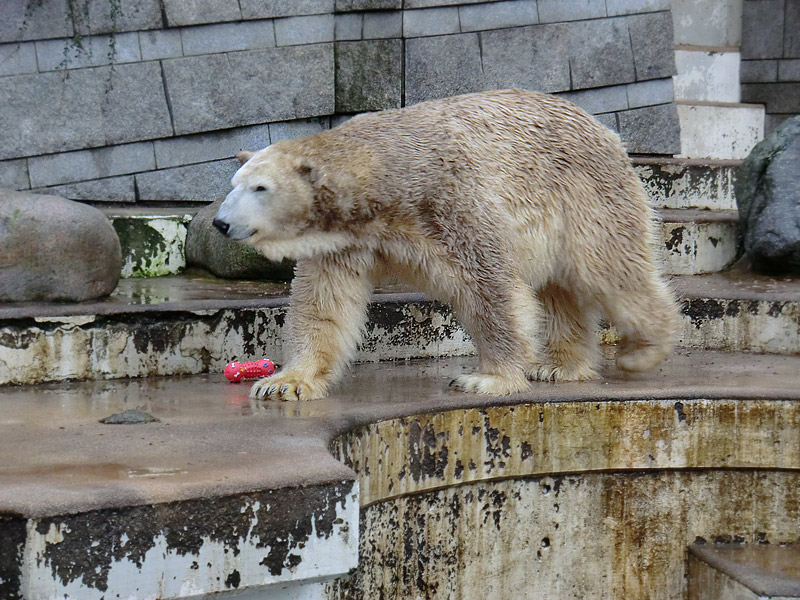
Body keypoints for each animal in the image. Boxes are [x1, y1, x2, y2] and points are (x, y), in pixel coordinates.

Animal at [211, 89, 676, 400]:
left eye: (260, 188)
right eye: (232, 184)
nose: (220, 222)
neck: (386, 174)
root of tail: (605, 128)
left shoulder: (449, 201)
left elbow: (490, 286)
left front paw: (488, 378)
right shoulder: (345, 240)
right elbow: (324, 302)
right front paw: (285, 383)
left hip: (585, 194)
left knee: (610, 270)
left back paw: (644, 351)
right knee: (561, 289)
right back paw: (560, 366)